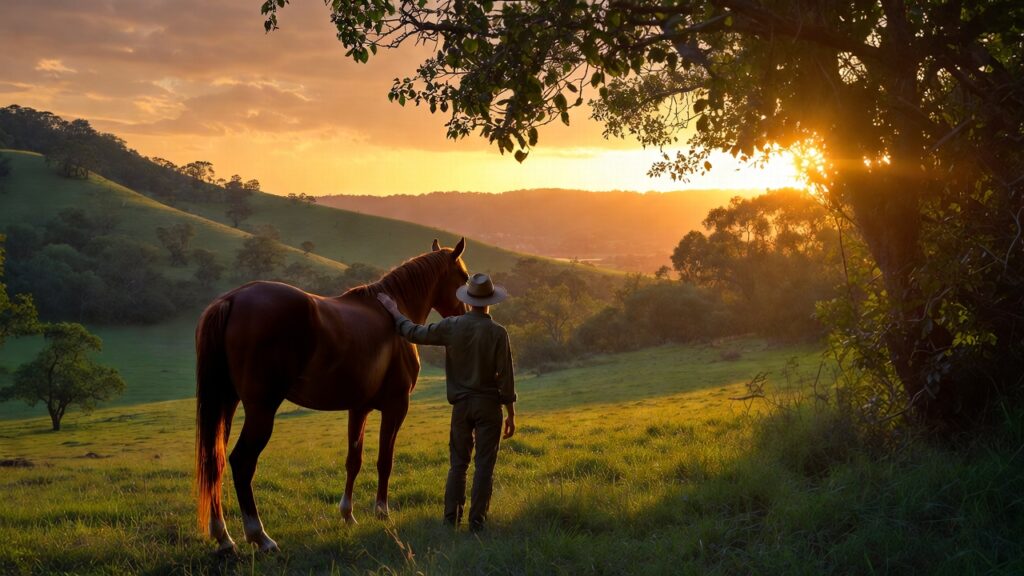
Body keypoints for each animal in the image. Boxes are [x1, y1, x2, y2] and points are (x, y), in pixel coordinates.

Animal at [194, 238, 469, 553]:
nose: (463, 315)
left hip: (226, 403)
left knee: (214, 461)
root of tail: (233, 299)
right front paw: (381, 512)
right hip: (261, 410)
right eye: (464, 278)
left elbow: (354, 460)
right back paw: (260, 536)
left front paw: (348, 515)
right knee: (241, 462)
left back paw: (224, 538)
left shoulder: (359, 408)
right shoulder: (396, 406)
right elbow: (385, 460)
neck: (392, 312)